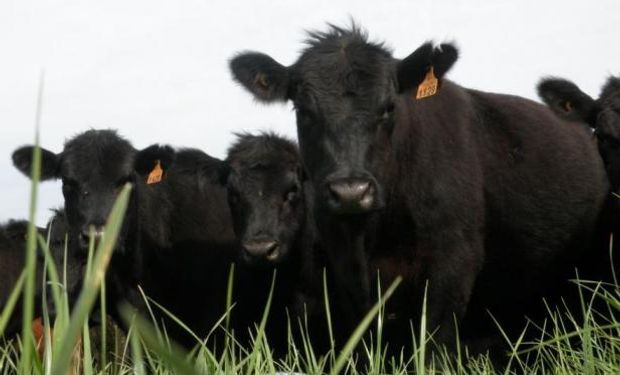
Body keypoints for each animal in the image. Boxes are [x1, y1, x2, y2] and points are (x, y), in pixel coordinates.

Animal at [231, 25, 612, 356]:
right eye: (304, 110)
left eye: (389, 107)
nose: (351, 191)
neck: (377, 235)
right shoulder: (346, 271)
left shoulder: (452, 264)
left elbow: (433, 347)